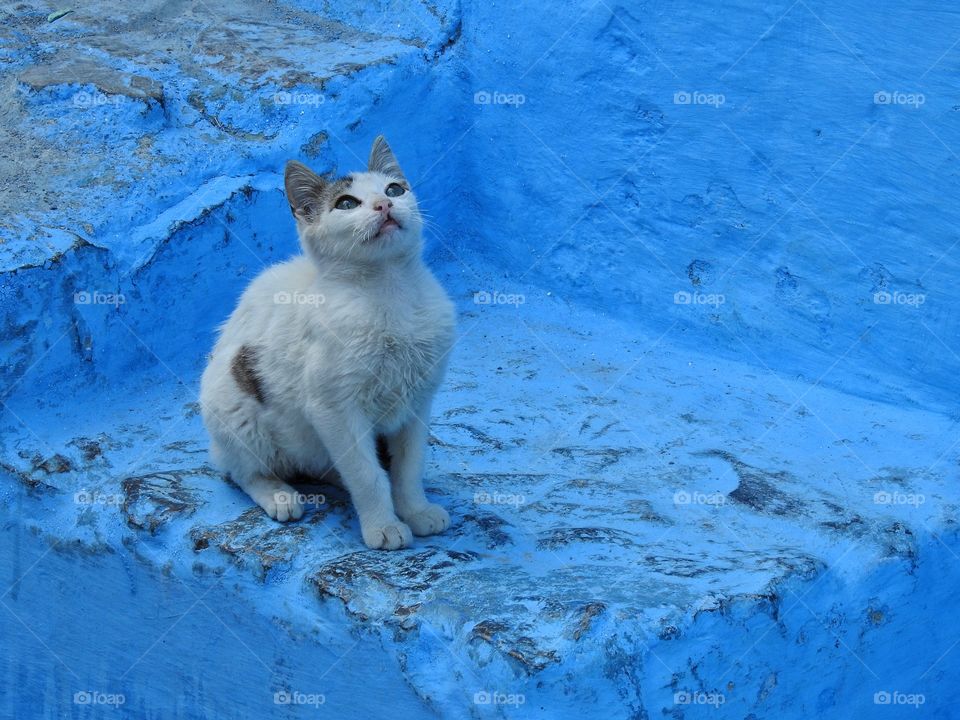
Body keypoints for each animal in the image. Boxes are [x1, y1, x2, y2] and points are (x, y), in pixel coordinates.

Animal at [197, 136, 456, 552]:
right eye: (346, 204)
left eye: (394, 190)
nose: (384, 205)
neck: (390, 291)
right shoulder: (333, 408)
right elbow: (366, 474)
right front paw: (383, 524)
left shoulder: (419, 399)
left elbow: (409, 465)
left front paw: (415, 509)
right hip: (232, 410)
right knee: (241, 471)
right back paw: (278, 494)